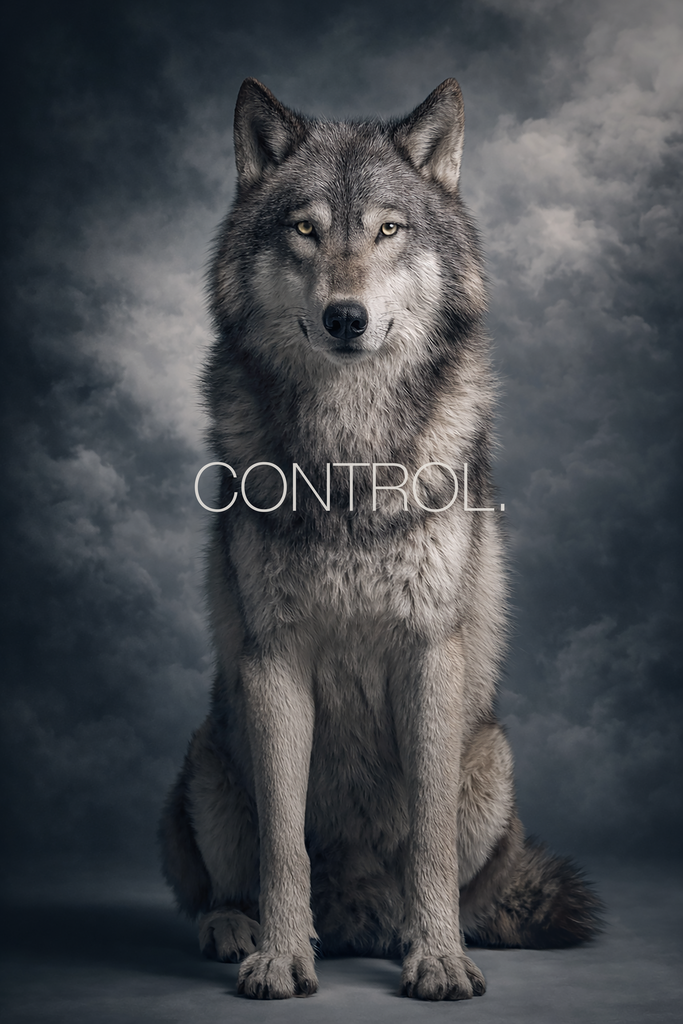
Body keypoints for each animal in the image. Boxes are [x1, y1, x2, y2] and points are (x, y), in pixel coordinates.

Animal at [159, 77, 602, 1001]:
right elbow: (281, 843)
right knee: (217, 882)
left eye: (388, 230)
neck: (350, 455)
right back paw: (234, 927)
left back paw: (410, 929)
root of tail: (353, 915)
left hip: (490, 759)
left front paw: (435, 957)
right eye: (305, 229)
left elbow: (426, 839)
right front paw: (280, 956)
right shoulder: (273, 659)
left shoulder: (427, 652)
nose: (344, 317)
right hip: (209, 759)